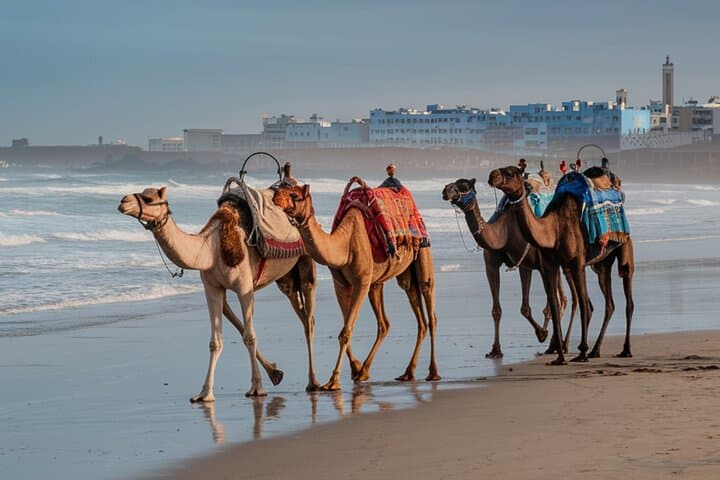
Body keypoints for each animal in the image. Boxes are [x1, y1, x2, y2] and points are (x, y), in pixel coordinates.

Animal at [118, 185, 320, 399]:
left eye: (148, 198)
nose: (123, 202)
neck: (211, 249)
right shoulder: (212, 287)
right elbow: (216, 342)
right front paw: (205, 393)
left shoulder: (244, 287)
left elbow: (250, 336)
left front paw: (257, 387)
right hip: (286, 279)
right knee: (301, 312)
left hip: (306, 261)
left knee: (309, 319)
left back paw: (313, 382)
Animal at [272, 182, 440, 391]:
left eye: (294, 195)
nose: (275, 195)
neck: (345, 245)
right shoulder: (341, 284)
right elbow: (345, 329)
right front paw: (356, 369)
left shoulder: (361, 282)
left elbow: (346, 332)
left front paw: (333, 382)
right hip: (392, 279)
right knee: (397, 317)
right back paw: (398, 373)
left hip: (423, 251)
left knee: (430, 308)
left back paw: (433, 373)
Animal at [442, 178, 578, 358]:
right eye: (452, 184)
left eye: (464, 186)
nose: (445, 190)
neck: (504, 232)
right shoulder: (495, 265)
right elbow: (501, 310)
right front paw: (495, 349)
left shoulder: (532, 263)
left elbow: (537, 306)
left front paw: (542, 333)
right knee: (562, 298)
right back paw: (555, 344)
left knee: (562, 298)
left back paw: (561, 344)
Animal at [489, 166, 635, 363]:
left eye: (511, 172)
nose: (492, 175)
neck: (554, 229)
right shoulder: (550, 264)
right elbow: (554, 306)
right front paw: (559, 357)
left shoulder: (577, 263)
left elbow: (583, 305)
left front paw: (581, 352)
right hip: (602, 263)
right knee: (609, 303)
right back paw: (595, 350)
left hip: (625, 246)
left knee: (628, 295)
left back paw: (625, 350)